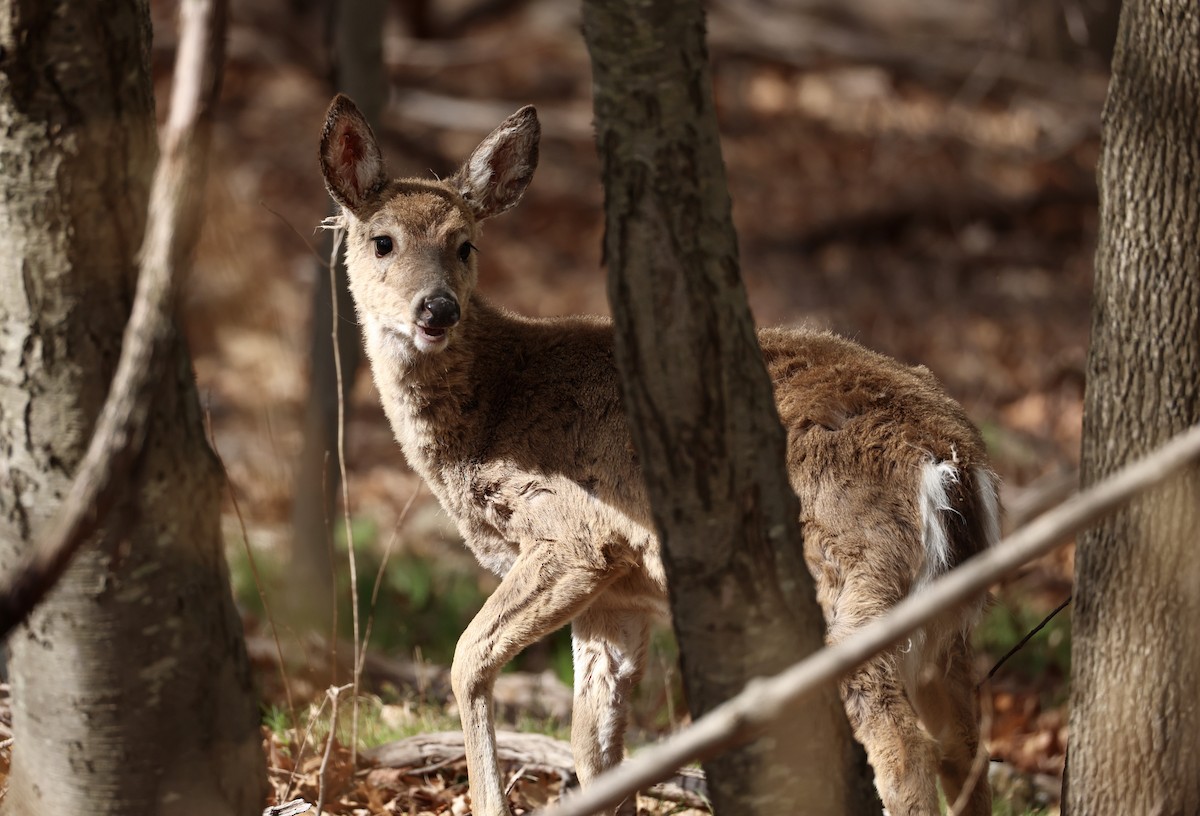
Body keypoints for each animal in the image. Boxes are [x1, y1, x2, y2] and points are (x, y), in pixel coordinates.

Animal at [318, 93, 998, 816]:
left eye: (464, 243)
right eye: (382, 240)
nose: (438, 309)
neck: (494, 409)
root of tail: (951, 459)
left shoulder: (572, 536)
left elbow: (467, 658)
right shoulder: (619, 592)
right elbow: (595, 741)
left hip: (860, 581)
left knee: (905, 747)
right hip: (947, 618)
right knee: (966, 740)